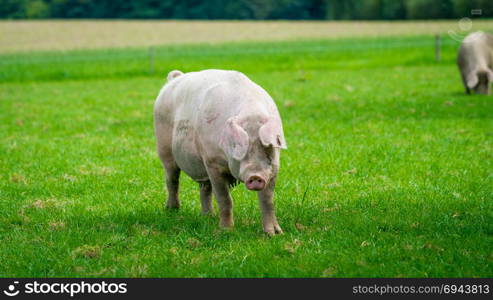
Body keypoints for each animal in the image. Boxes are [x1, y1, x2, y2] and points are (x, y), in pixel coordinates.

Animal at [152, 69, 286, 236]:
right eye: (238, 147)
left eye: (268, 149)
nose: (255, 176)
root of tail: (174, 78)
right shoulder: (212, 162)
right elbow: (224, 198)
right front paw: (226, 231)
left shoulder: (274, 169)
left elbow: (268, 200)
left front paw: (275, 234)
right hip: (164, 148)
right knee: (172, 179)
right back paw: (172, 210)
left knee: (204, 188)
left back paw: (208, 216)